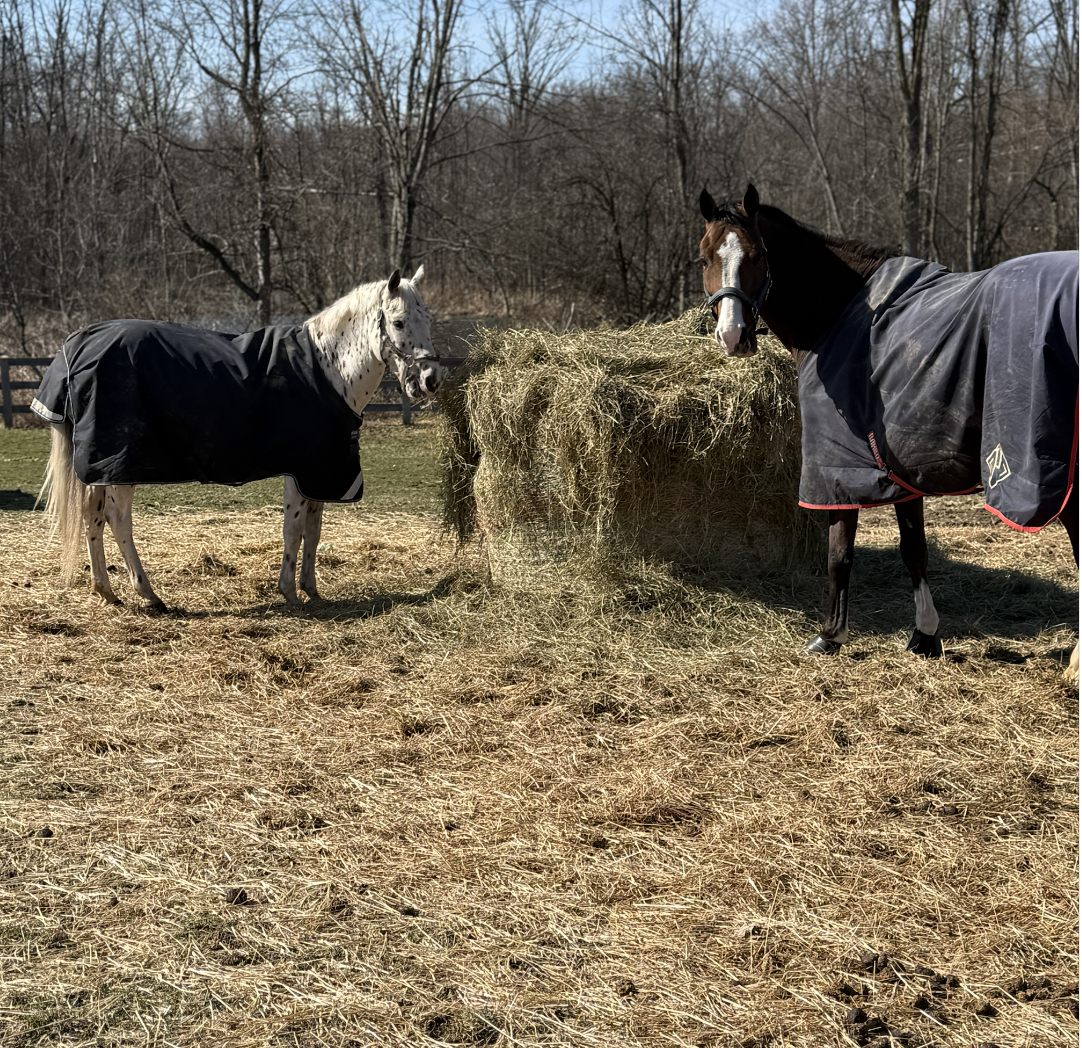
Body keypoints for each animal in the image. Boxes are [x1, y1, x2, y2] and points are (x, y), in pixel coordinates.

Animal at [34, 267, 444, 609]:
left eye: (429, 320)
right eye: (398, 321)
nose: (430, 380)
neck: (327, 368)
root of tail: (77, 344)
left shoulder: (319, 473)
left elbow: (313, 530)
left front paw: (312, 591)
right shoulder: (301, 471)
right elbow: (293, 530)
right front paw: (290, 593)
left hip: (101, 468)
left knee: (93, 515)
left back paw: (106, 591)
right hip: (121, 466)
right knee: (118, 518)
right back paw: (148, 595)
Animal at [697, 184, 1078, 669]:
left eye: (759, 255)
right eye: (704, 257)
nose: (733, 335)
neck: (840, 313)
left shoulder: (839, 468)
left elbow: (840, 553)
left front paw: (830, 635)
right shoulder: (903, 468)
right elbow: (914, 551)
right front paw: (926, 635)